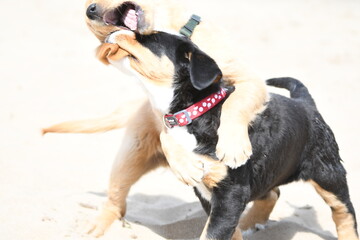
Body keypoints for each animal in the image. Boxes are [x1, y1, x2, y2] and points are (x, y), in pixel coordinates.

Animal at [97, 30, 358, 240]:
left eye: (148, 37)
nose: (110, 33)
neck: (197, 111)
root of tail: (305, 103)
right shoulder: (212, 195)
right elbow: (229, 231)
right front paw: (186, 165)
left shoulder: (231, 191)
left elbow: (214, 233)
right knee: (272, 193)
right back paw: (251, 222)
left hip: (327, 171)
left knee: (344, 211)